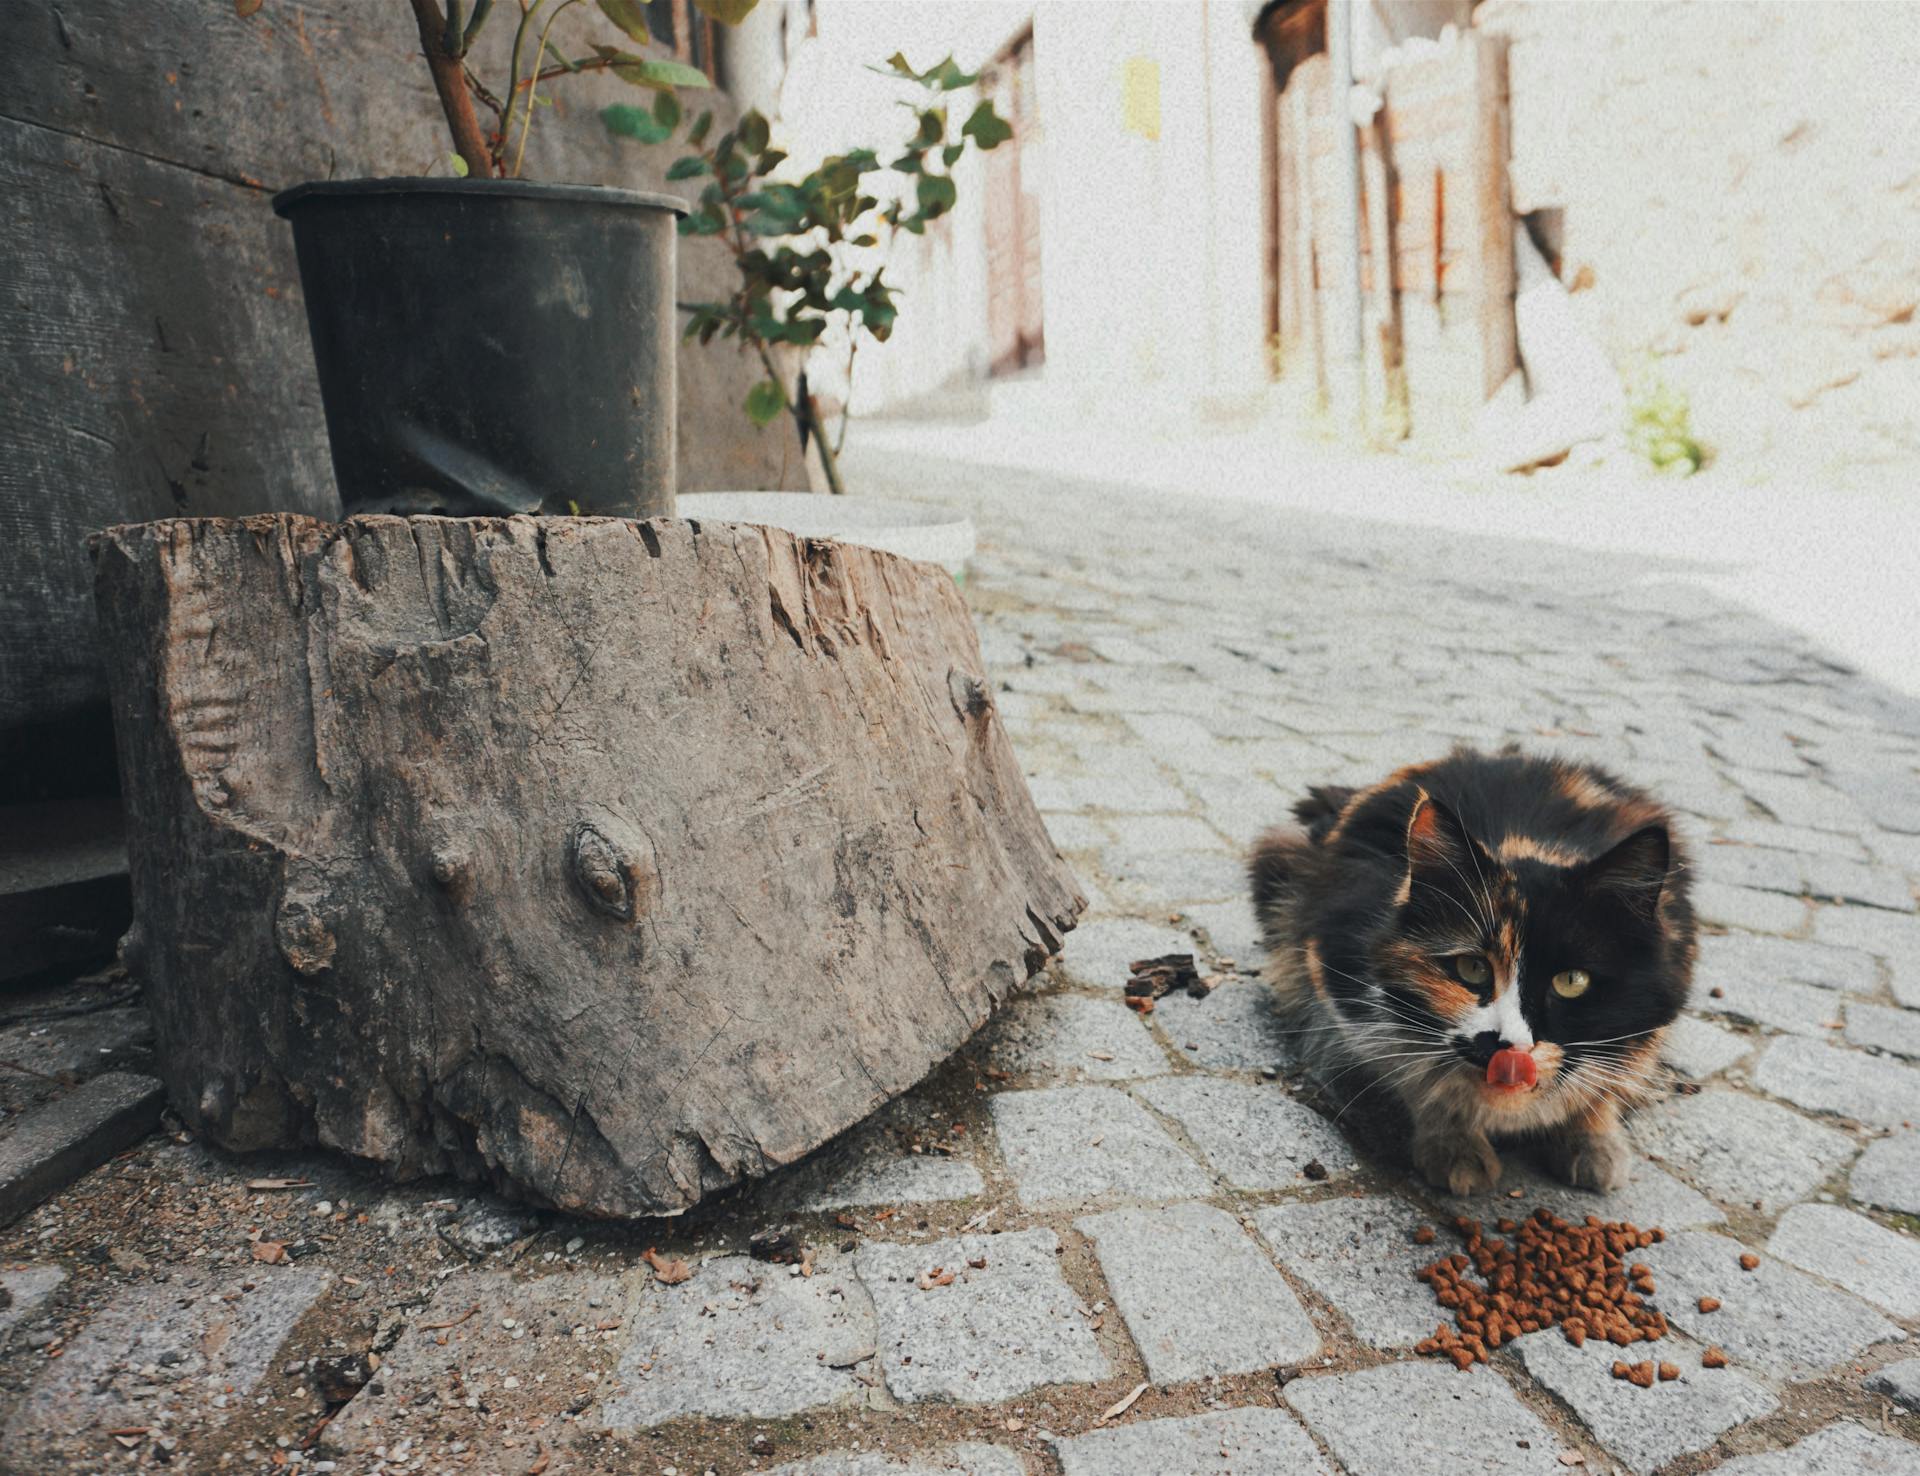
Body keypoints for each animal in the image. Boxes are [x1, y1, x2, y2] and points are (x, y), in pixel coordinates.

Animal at [1259, 748, 1697, 1197]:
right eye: (1472, 969)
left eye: (1571, 981)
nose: (1511, 1048)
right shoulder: (1338, 983)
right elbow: (1416, 1075)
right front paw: (1456, 1149)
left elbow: (1607, 1082)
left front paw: (1594, 1145)